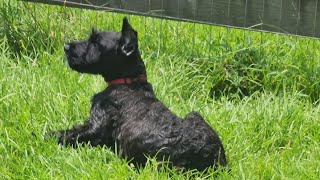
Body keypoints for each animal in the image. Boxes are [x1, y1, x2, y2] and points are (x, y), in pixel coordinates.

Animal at [52, 17, 228, 171]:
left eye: (96, 43)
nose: (66, 47)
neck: (129, 81)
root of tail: (208, 155)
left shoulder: (95, 127)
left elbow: (68, 134)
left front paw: (46, 136)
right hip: (195, 115)